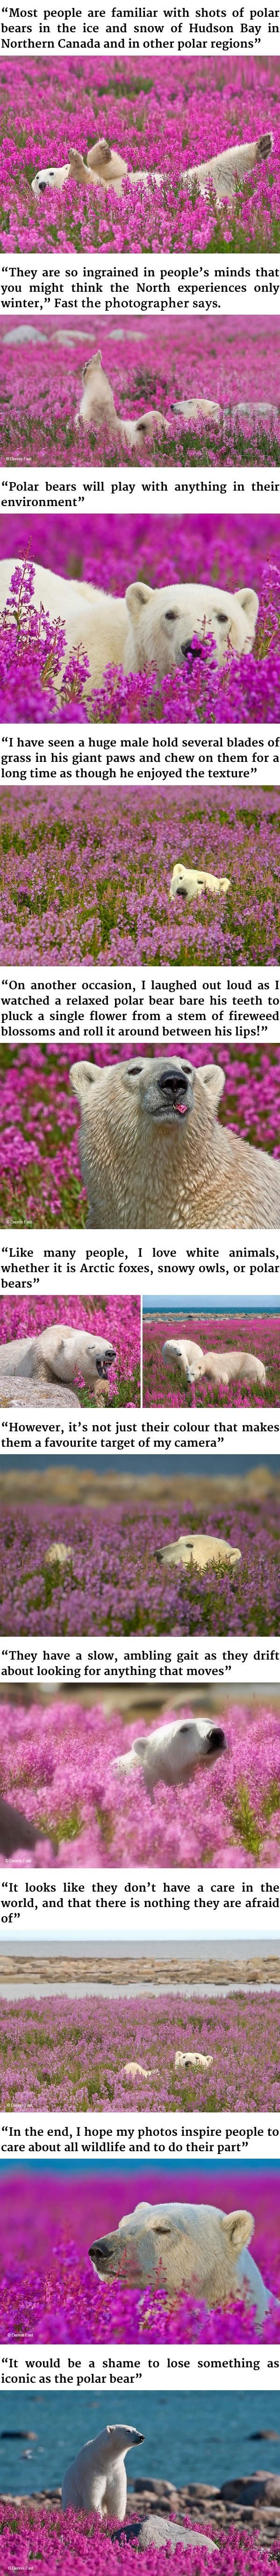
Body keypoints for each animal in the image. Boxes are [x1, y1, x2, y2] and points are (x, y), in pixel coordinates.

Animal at [61, 2421, 144, 2504]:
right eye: (128, 2431)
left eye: (135, 2429)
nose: (142, 2437)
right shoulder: (91, 2472)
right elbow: (93, 2496)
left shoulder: (116, 2471)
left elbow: (117, 2497)